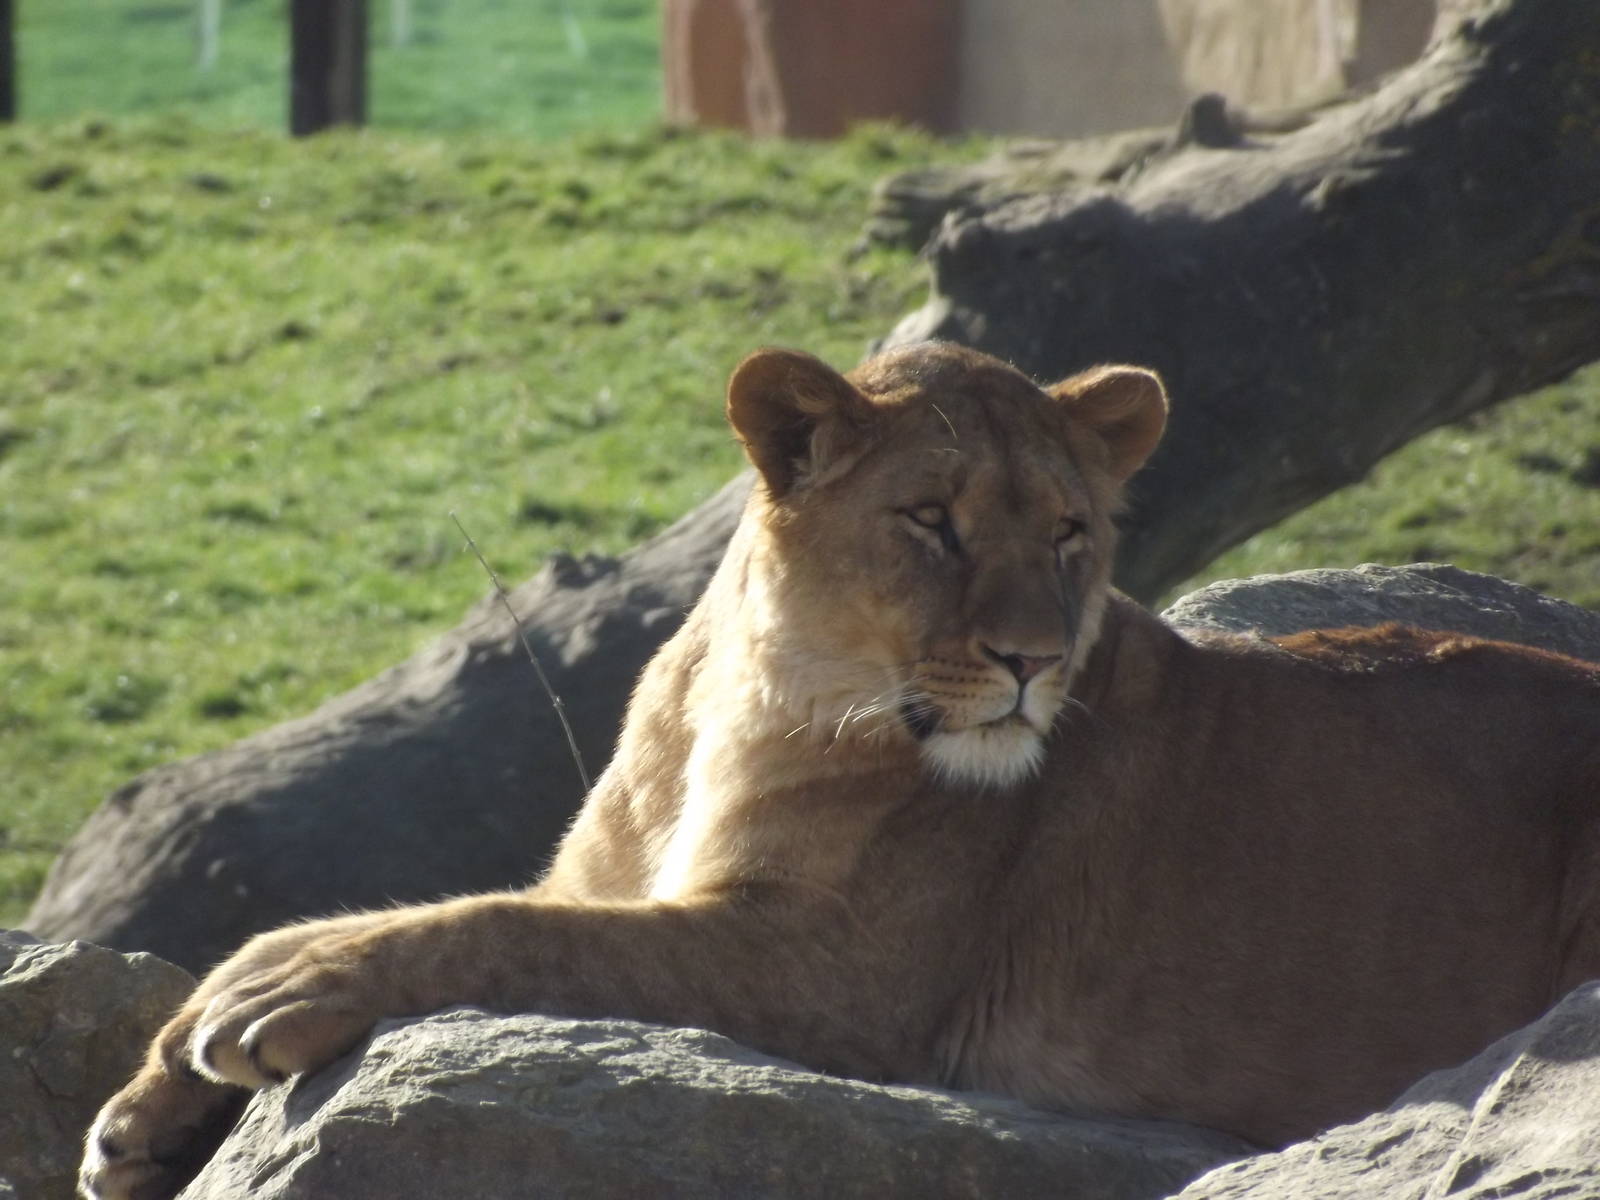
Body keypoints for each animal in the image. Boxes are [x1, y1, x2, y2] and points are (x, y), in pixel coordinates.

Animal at [83, 342, 1600, 1199]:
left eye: (1069, 533)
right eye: (931, 521)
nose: (1031, 661)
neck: (748, 700)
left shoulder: (833, 980)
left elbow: (489, 928)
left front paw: (285, 995)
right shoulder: (640, 887)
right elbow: (411, 911)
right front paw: (151, 1113)